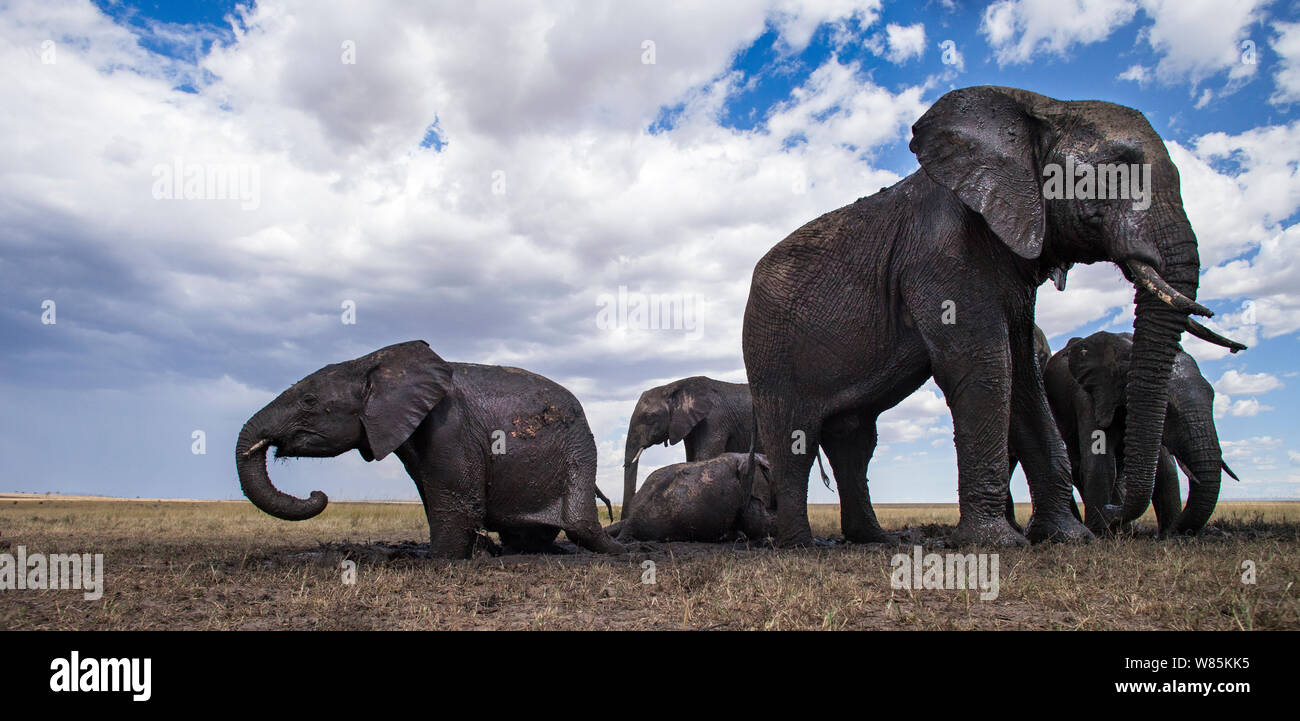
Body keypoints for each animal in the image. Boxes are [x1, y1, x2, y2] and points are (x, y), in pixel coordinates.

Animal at [237, 340, 624, 561]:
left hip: (578, 449)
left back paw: (623, 551)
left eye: (308, 401)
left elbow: (453, 500)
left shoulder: (449, 426)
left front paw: (439, 560)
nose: (317, 494)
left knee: (579, 524)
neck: (373, 364)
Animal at [1045, 332, 1237, 535]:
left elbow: (1165, 468)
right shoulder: (1089, 396)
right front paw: (1100, 532)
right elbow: (1099, 460)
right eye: (1167, 408)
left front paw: (1168, 533)